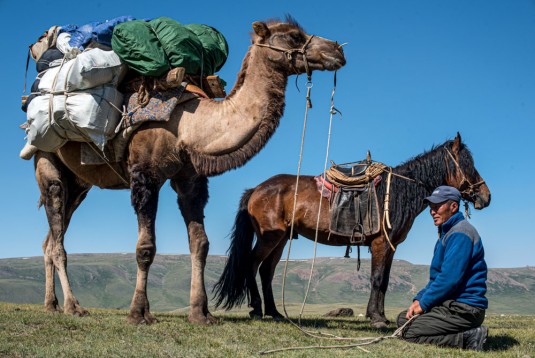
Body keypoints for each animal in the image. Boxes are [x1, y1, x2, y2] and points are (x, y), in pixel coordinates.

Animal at [216, 134, 492, 328]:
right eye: (468, 164)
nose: (485, 196)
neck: (397, 192)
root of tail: (256, 189)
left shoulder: (390, 247)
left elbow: (384, 281)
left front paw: (379, 315)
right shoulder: (381, 243)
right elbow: (377, 279)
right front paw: (376, 318)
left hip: (281, 239)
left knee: (266, 271)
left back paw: (274, 312)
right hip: (269, 237)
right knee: (252, 264)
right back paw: (256, 308)